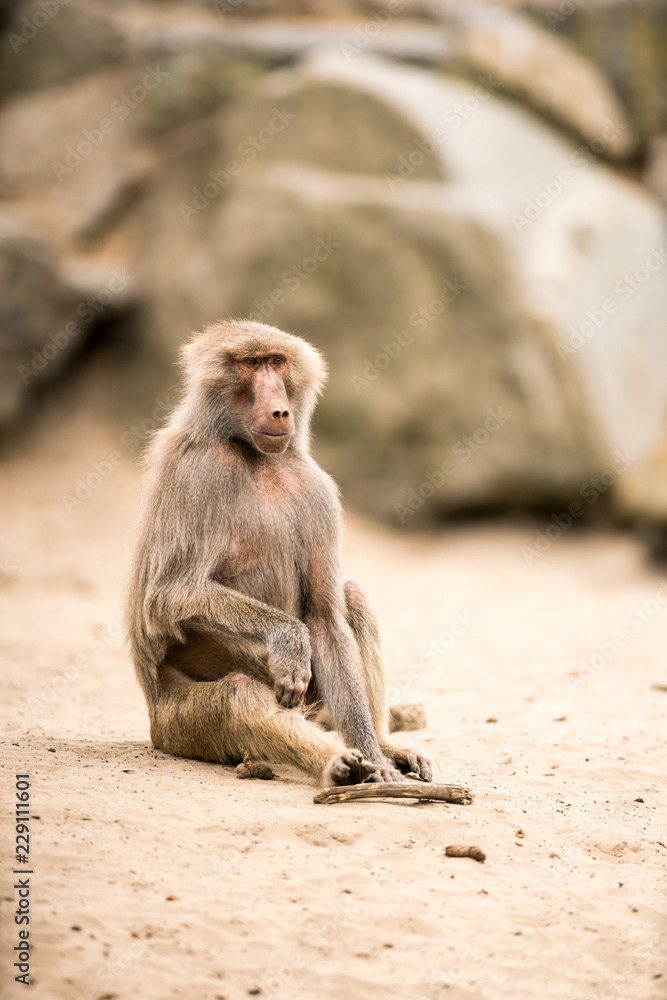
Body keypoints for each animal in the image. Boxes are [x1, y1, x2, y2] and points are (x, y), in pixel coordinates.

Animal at [124, 319, 432, 787]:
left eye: (277, 362)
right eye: (251, 364)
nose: (279, 412)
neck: (254, 455)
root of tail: (154, 723)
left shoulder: (318, 489)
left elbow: (325, 616)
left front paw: (377, 757)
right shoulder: (200, 472)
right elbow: (168, 595)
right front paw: (290, 640)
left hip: (313, 706)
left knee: (353, 597)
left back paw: (380, 750)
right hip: (176, 724)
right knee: (237, 695)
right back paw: (337, 765)